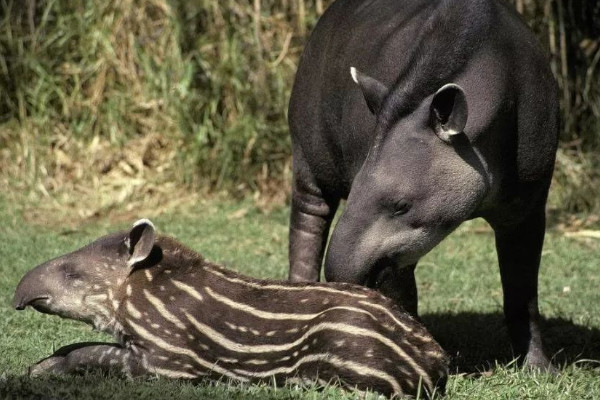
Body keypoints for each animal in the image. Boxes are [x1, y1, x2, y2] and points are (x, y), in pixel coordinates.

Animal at [14, 220, 448, 398]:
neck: (146, 291)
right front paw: (37, 368)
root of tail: (436, 360)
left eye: (72, 274)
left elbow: (97, 352)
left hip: (349, 343)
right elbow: (76, 346)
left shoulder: (168, 360)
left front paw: (41, 371)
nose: (18, 295)